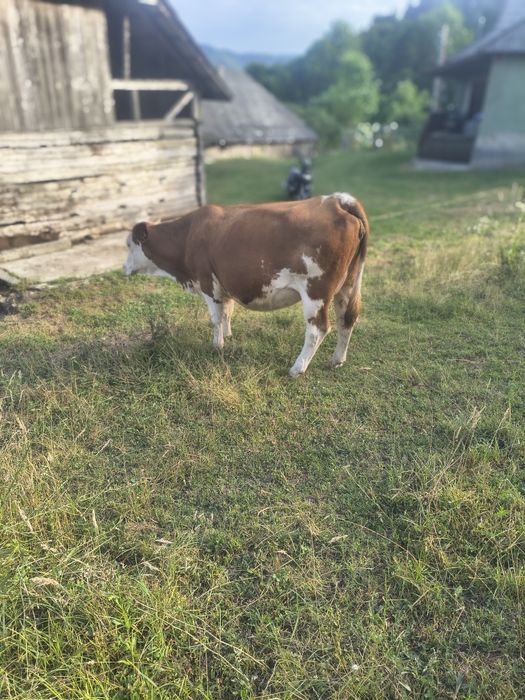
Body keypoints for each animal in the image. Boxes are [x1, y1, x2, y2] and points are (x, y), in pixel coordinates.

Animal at [124, 192, 369, 377]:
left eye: (128, 244)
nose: (123, 268)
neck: (187, 236)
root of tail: (338, 200)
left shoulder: (207, 282)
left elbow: (215, 318)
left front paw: (217, 345)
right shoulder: (224, 282)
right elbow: (227, 312)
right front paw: (228, 336)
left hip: (316, 291)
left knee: (318, 329)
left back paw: (297, 368)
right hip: (348, 284)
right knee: (347, 319)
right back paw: (336, 360)